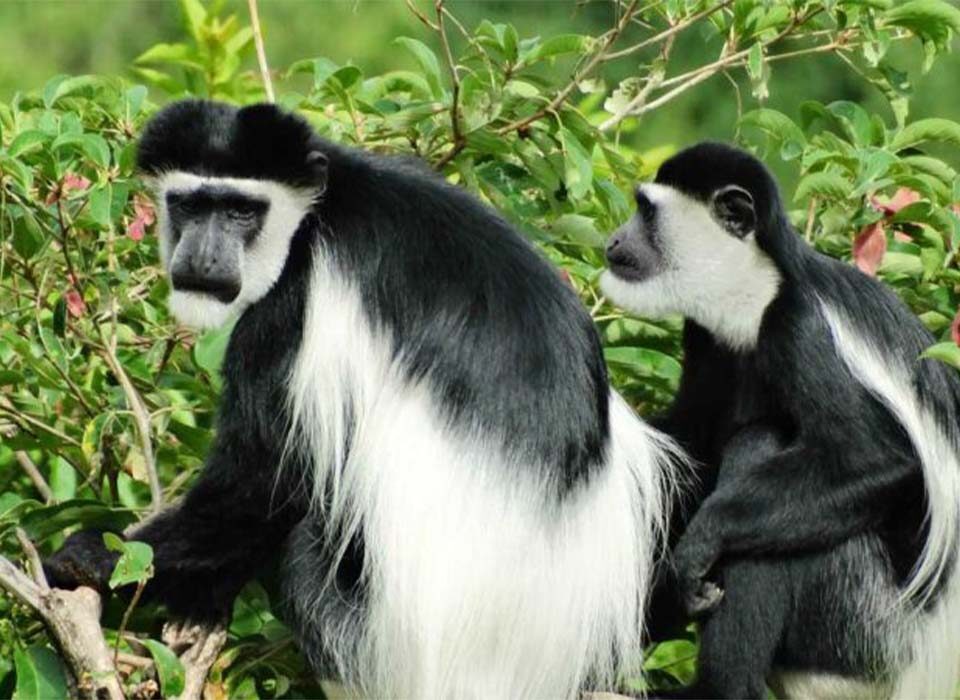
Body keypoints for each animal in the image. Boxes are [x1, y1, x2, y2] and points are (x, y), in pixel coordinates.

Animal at [44, 99, 683, 699]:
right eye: (191, 206)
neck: (319, 210)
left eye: (242, 211)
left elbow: (263, 482)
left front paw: (95, 559)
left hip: (381, 637)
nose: (202, 258)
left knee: (306, 547)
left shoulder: (293, 304)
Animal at [600, 142, 960, 698]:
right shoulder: (708, 336)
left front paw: (701, 542)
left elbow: (873, 459)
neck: (757, 293)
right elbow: (690, 445)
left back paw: (717, 686)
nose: (614, 240)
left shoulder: (801, 328)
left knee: (763, 455)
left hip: (863, 626)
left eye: (645, 211)